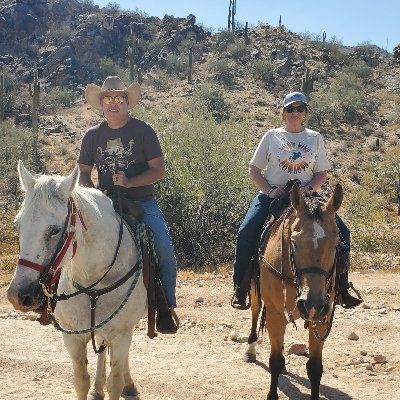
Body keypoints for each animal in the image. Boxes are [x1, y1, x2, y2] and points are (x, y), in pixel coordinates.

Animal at [6, 161, 148, 398]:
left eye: (54, 230)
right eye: (18, 225)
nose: (17, 295)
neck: (93, 279)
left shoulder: (121, 334)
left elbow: (115, 382)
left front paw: (121, 384)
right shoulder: (72, 338)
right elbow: (81, 381)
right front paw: (93, 386)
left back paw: (128, 385)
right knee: (101, 349)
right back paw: (98, 388)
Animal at [244, 184, 344, 400]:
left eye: (335, 243)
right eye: (294, 242)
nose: (312, 304)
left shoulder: (322, 317)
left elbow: (315, 367)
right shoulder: (274, 313)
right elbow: (275, 361)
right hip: (255, 290)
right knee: (255, 311)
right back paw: (250, 350)